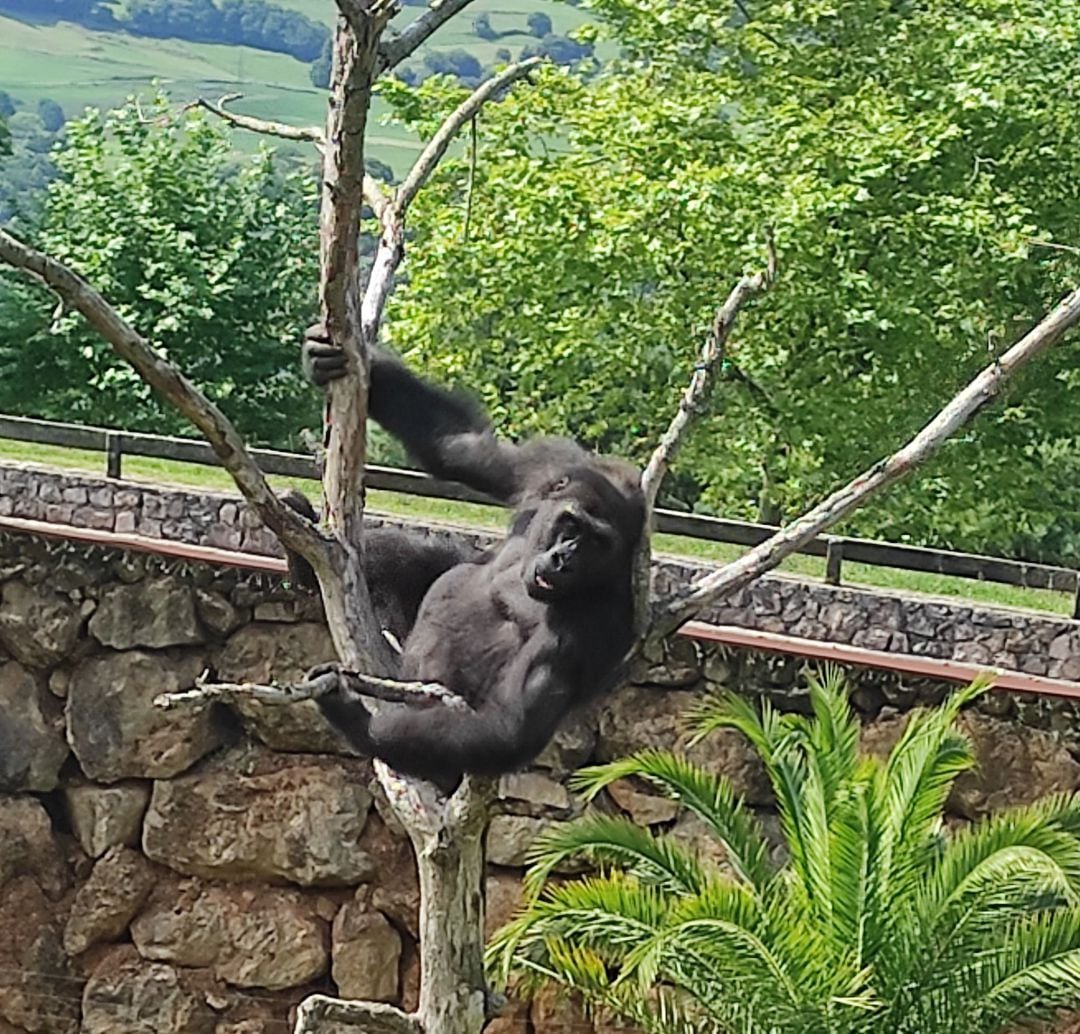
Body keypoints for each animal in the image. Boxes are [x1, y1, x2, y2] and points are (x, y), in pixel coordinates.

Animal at [300, 330, 643, 790]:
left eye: (597, 543)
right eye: (571, 526)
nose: (564, 558)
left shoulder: (603, 626)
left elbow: (508, 727)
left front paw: (357, 720)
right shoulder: (551, 466)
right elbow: (462, 447)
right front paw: (329, 356)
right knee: (438, 561)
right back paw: (301, 561)